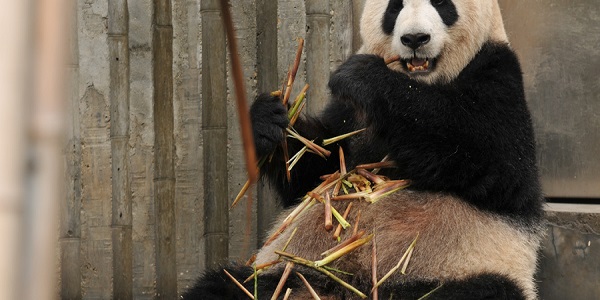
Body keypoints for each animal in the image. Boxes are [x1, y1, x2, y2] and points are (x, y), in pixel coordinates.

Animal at [185, 1, 548, 298]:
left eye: (443, 4)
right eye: (394, 7)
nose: (414, 39)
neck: (424, 82)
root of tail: (349, 288)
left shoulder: (498, 74)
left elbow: (494, 162)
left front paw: (366, 76)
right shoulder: (347, 116)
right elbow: (315, 171)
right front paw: (269, 120)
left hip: (459, 269)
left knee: (481, 291)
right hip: (291, 271)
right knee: (227, 285)